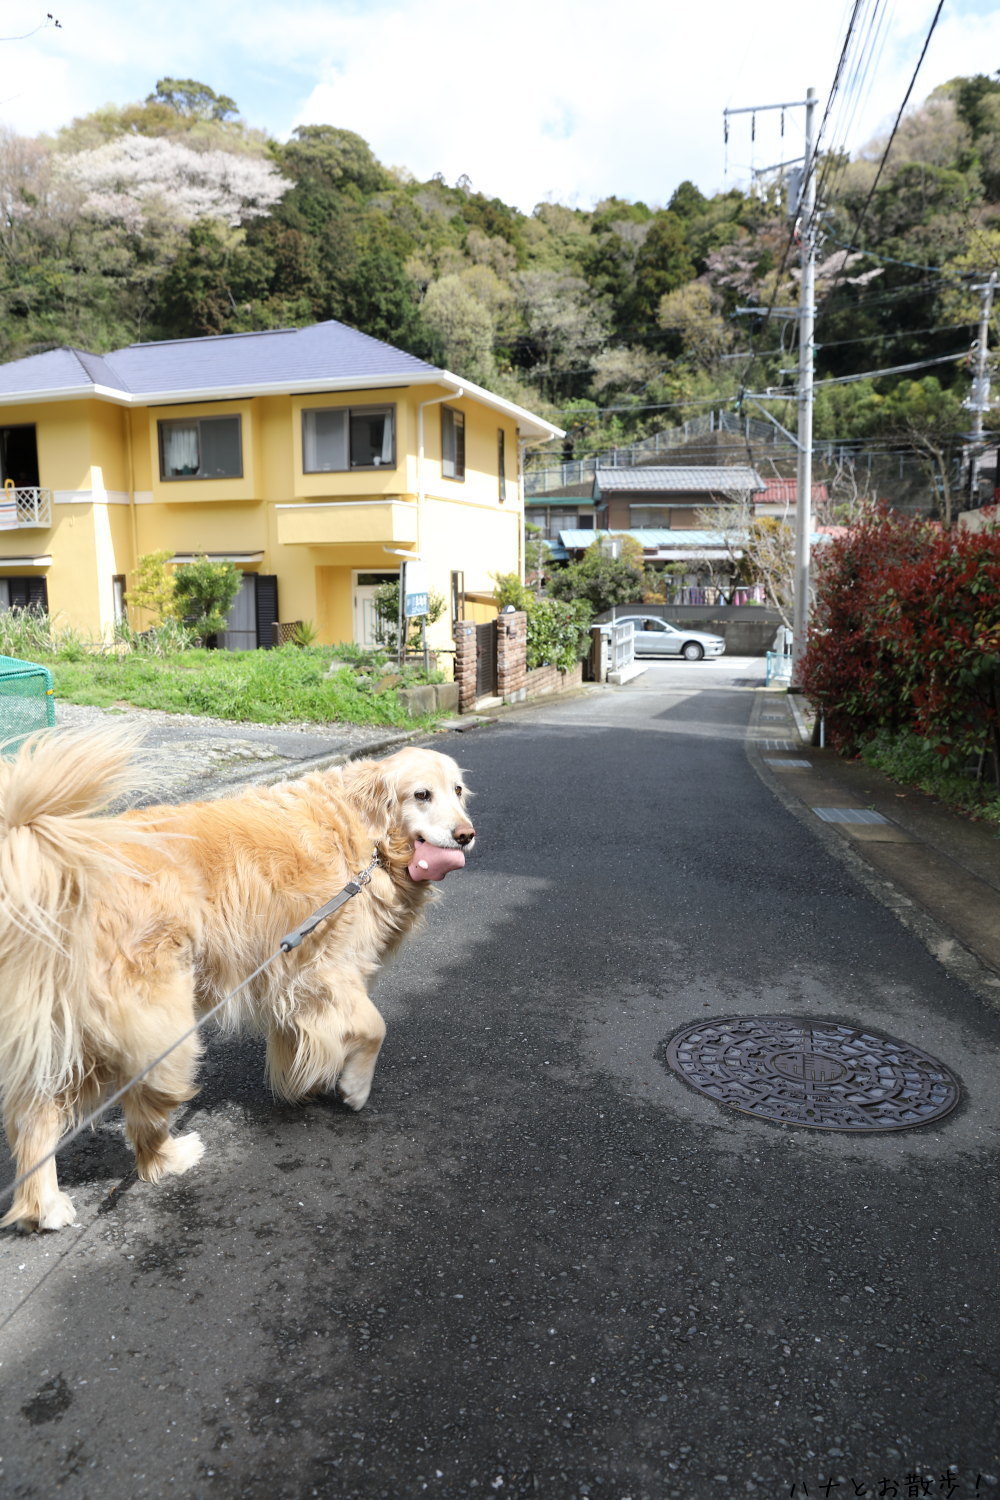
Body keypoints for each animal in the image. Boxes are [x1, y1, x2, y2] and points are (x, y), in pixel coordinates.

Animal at [0, 726, 476, 1230]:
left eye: (457, 790)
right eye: (421, 795)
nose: (466, 835)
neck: (366, 838)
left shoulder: (289, 975)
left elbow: (300, 1035)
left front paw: (301, 1080)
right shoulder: (325, 967)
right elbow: (374, 1027)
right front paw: (354, 1087)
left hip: (80, 1028)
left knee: (38, 1112)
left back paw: (43, 1204)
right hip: (158, 1019)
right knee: (142, 1107)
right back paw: (168, 1157)